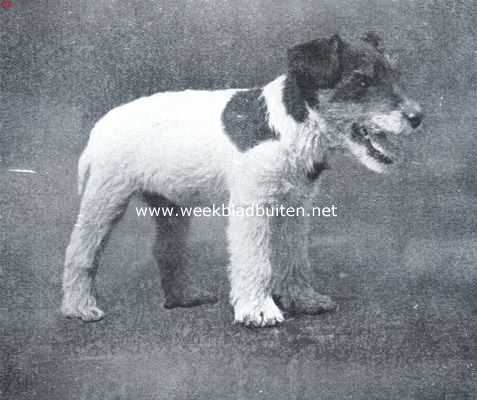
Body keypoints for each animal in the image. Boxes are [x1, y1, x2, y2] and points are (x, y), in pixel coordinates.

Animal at [61, 32, 422, 328]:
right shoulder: (252, 207)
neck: (292, 125)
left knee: (166, 250)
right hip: (106, 196)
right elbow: (256, 261)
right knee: (81, 252)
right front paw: (259, 310)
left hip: (172, 206)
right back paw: (79, 307)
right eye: (360, 81)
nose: (417, 117)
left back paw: (184, 297)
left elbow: (294, 258)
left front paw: (303, 300)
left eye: (395, 74)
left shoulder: (294, 208)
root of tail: (103, 123)